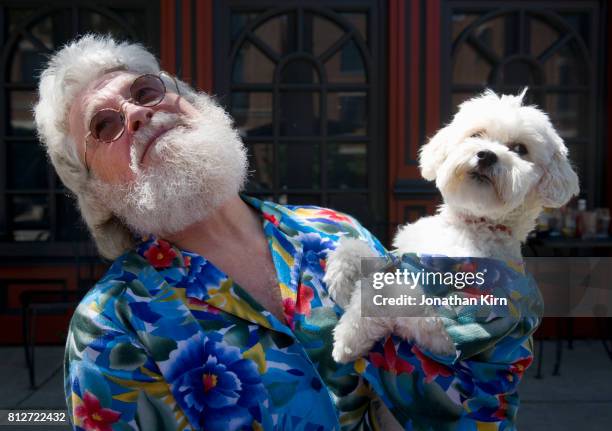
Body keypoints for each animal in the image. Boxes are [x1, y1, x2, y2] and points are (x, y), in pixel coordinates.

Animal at [326, 90, 580, 364]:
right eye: (476, 134)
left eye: (520, 149)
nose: (487, 155)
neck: (471, 224)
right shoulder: (401, 255)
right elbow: (363, 251)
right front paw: (341, 276)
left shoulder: (450, 326)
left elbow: (390, 291)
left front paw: (349, 337)